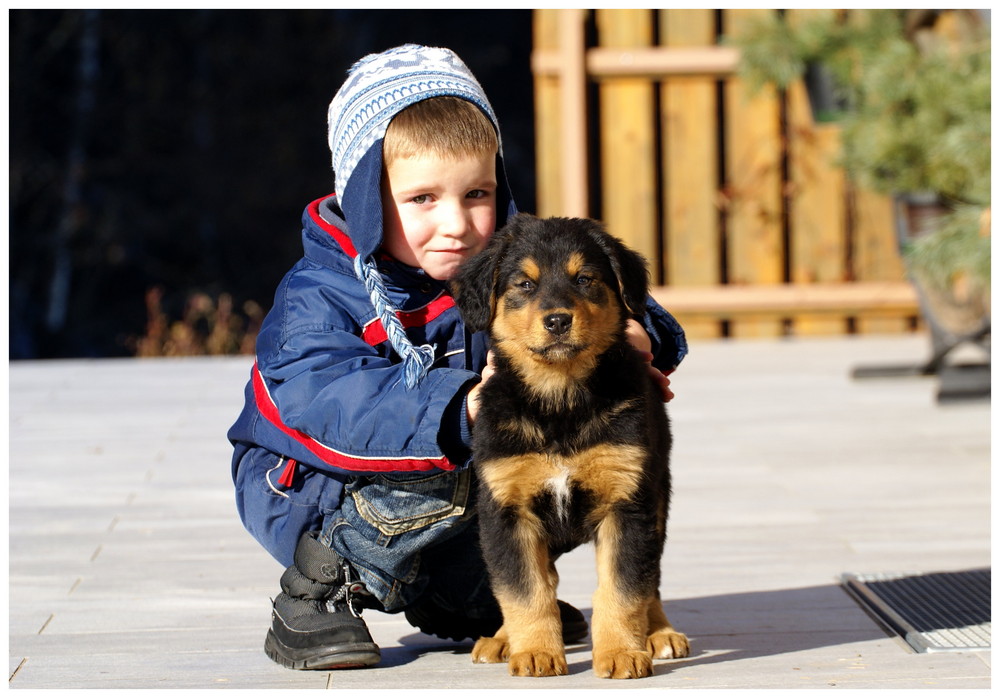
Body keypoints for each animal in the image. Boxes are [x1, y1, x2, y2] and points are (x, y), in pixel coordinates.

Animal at [452, 213, 688, 680]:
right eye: (525, 284)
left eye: (584, 279)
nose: (558, 321)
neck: (560, 399)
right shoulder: (507, 510)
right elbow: (524, 589)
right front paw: (535, 653)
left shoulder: (627, 503)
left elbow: (623, 587)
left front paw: (621, 653)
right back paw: (502, 640)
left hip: (657, 497)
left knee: (650, 578)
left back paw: (660, 634)